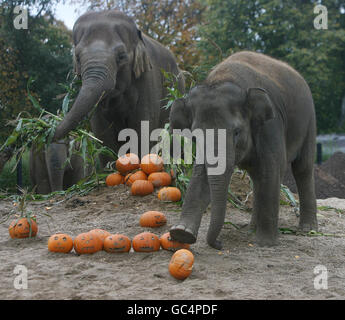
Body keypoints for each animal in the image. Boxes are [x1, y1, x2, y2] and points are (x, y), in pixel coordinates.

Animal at [52, 10, 184, 165]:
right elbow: (103, 136)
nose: (50, 133)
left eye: (121, 56)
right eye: (77, 57)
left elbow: (142, 131)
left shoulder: (147, 81)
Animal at [168, 51, 316, 249]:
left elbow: (272, 168)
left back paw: (307, 230)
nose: (219, 244)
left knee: (302, 168)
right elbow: (201, 176)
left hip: (309, 120)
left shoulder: (271, 124)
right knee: (258, 177)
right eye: (194, 136)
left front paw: (265, 243)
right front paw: (181, 233)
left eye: (236, 132)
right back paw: (251, 229)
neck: (225, 78)